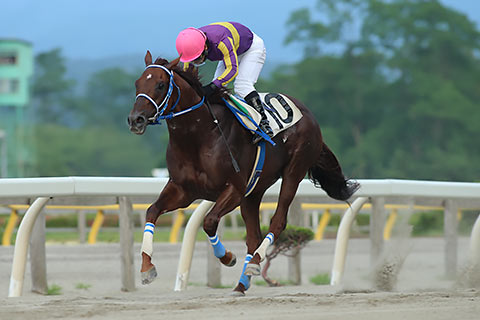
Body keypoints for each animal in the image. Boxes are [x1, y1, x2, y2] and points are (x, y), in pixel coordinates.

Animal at [127, 52, 360, 296]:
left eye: (160, 85)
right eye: (137, 83)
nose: (136, 120)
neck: (198, 136)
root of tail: (307, 113)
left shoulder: (234, 189)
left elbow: (209, 221)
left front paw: (227, 257)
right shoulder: (183, 190)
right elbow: (152, 211)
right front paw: (147, 268)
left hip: (293, 173)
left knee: (278, 221)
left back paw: (255, 264)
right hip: (254, 191)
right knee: (253, 236)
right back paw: (241, 284)